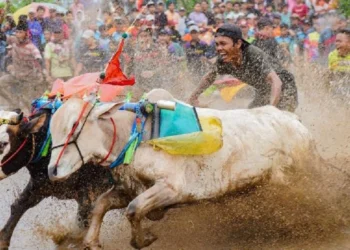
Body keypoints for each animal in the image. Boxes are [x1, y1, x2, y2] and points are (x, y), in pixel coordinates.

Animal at [46, 89, 318, 248]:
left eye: (74, 125)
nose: (52, 171)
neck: (136, 135)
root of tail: (295, 121)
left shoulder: (172, 188)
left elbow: (134, 210)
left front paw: (144, 239)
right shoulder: (127, 189)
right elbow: (100, 206)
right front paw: (92, 241)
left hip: (296, 174)